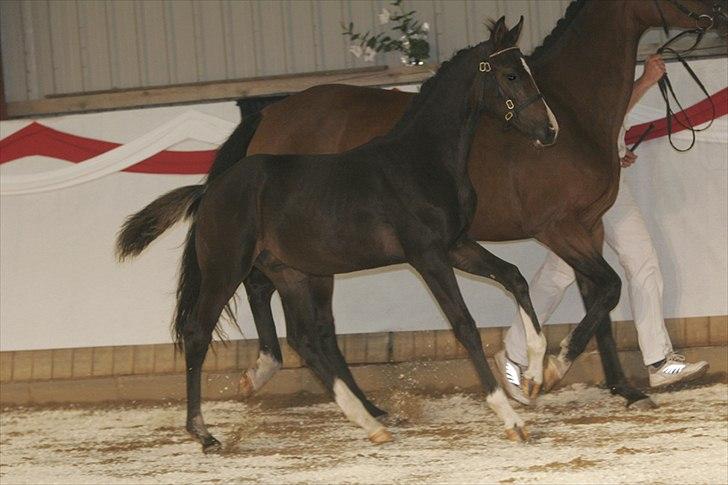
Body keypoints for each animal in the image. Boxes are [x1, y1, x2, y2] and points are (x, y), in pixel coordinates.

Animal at [118, 18, 556, 450]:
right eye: (511, 74)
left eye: (529, 71)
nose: (550, 130)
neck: (421, 160)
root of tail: (208, 191)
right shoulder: (427, 254)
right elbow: (464, 326)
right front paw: (511, 419)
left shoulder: (456, 245)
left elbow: (514, 277)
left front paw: (535, 377)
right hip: (227, 268)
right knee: (199, 331)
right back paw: (204, 433)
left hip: (289, 272)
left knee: (304, 339)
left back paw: (369, 420)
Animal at [200, 0, 728, 408]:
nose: (719, 13)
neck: (571, 112)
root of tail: (272, 113)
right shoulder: (558, 228)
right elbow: (607, 288)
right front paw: (547, 370)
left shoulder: (590, 225)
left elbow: (598, 296)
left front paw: (622, 388)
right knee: (263, 290)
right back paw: (273, 372)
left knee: (273, 294)